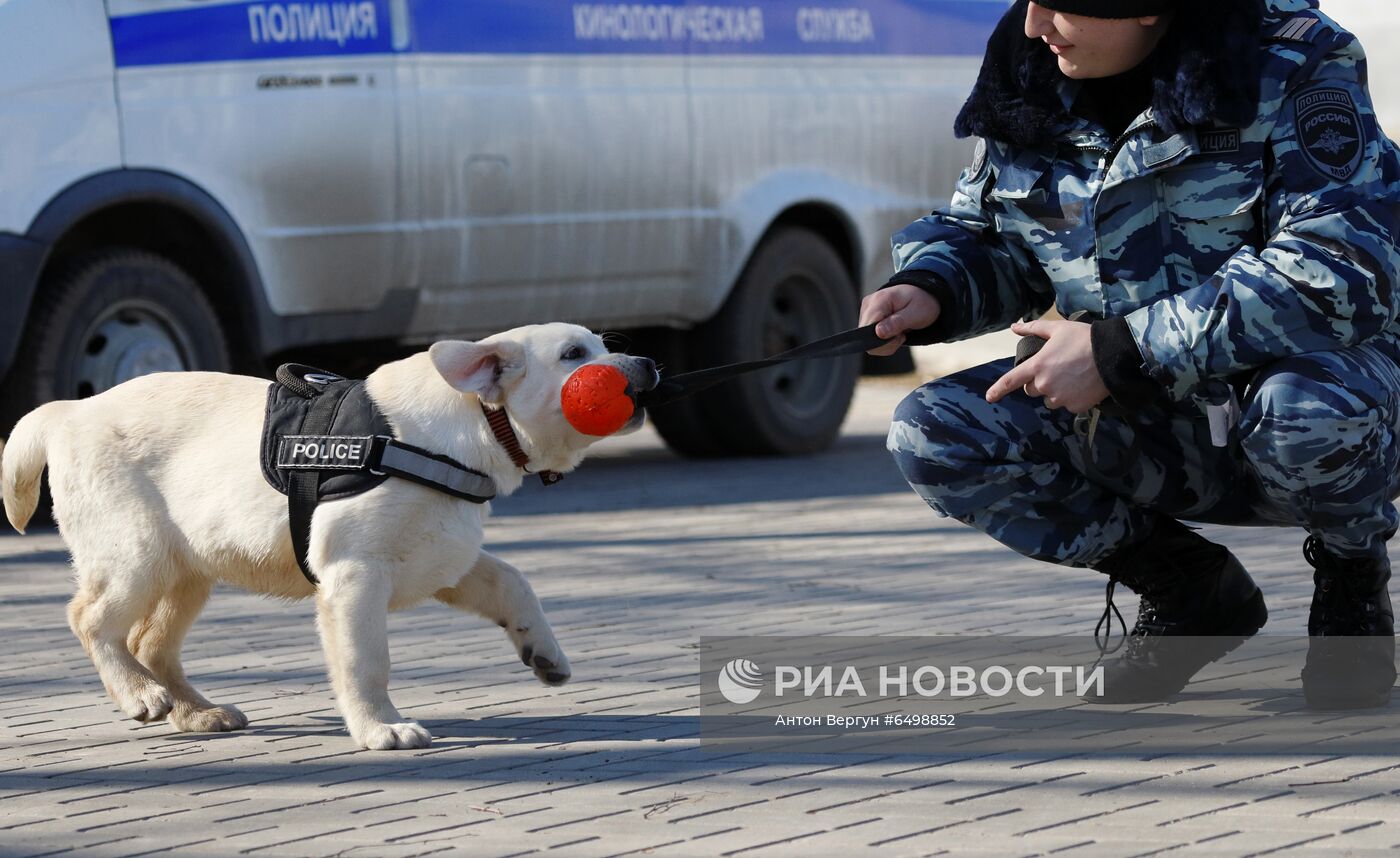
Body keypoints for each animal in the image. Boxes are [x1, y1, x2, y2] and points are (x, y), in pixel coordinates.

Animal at [1, 323, 655, 750]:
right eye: (574, 354)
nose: (648, 366)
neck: (470, 424)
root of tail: (68, 412)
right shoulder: (355, 573)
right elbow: (367, 661)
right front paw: (380, 727)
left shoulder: (446, 554)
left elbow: (512, 581)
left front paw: (544, 651)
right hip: (136, 553)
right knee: (91, 620)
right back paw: (139, 695)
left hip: (187, 568)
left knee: (150, 641)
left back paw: (197, 713)